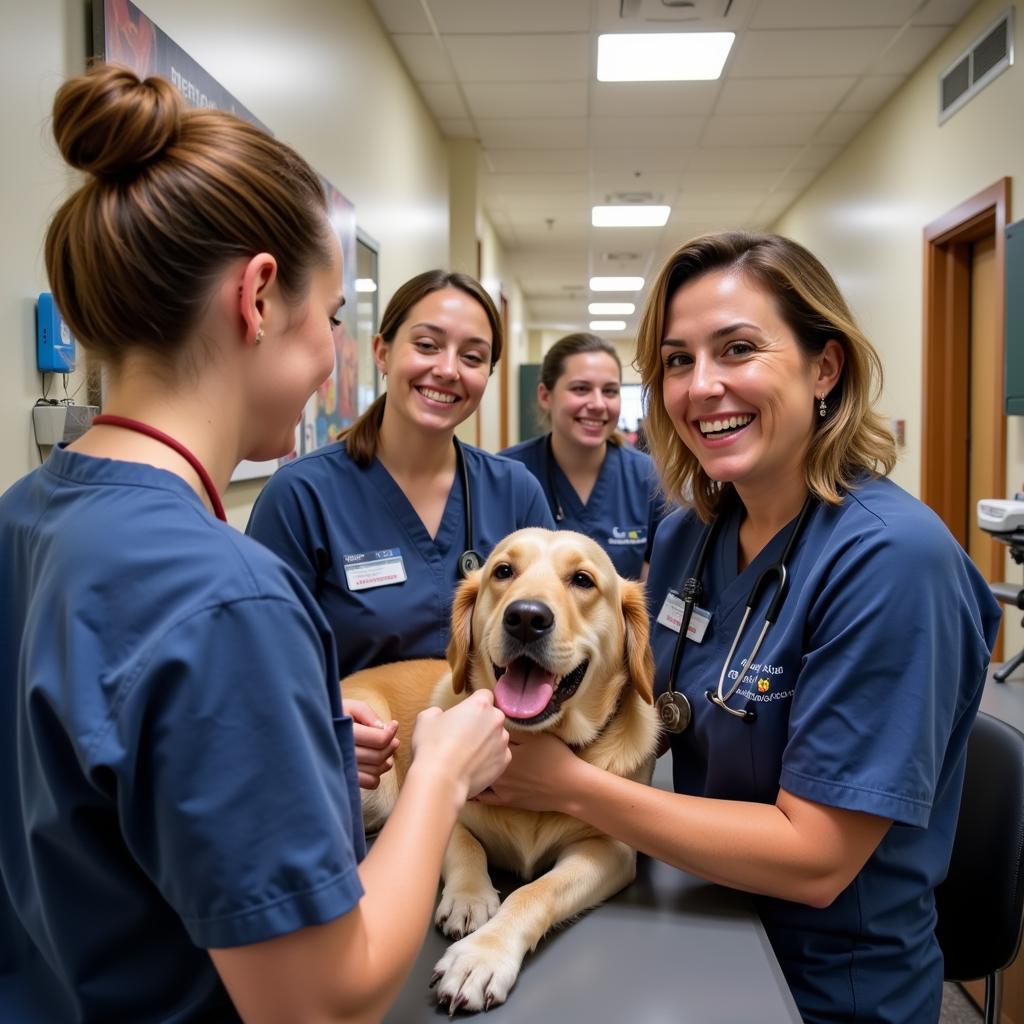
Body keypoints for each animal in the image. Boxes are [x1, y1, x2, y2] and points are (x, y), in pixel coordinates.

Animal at [344, 532, 659, 1011]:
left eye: (582, 580)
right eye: (503, 571)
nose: (526, 617)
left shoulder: (610, 850)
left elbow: (537, 890)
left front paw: (482, 954)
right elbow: (465, 846)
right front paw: (469, 898)